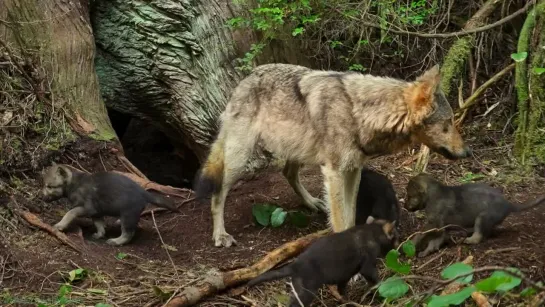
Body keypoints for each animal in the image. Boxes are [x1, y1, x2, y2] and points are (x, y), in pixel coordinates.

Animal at [193, 62, 470, 248]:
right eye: (448, 123)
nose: (467, 151)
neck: (360, 113)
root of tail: (245, 79)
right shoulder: (335, 172)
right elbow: (340, 219)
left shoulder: (353, 170)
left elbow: (349, 213)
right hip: (240, 159)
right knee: (218, 192)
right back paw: (220, 235)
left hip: (298, 151)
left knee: (288, 172)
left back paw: (312, 203)